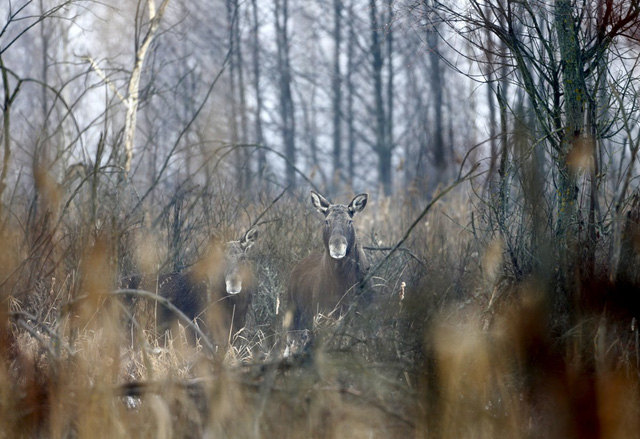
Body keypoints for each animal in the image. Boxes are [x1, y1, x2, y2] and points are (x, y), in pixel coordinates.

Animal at [122, 229, 258, 342]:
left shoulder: (236, 330)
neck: (234, 306)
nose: (233, 285)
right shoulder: (198, 328)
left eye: (243, 258)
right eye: (223, 259)